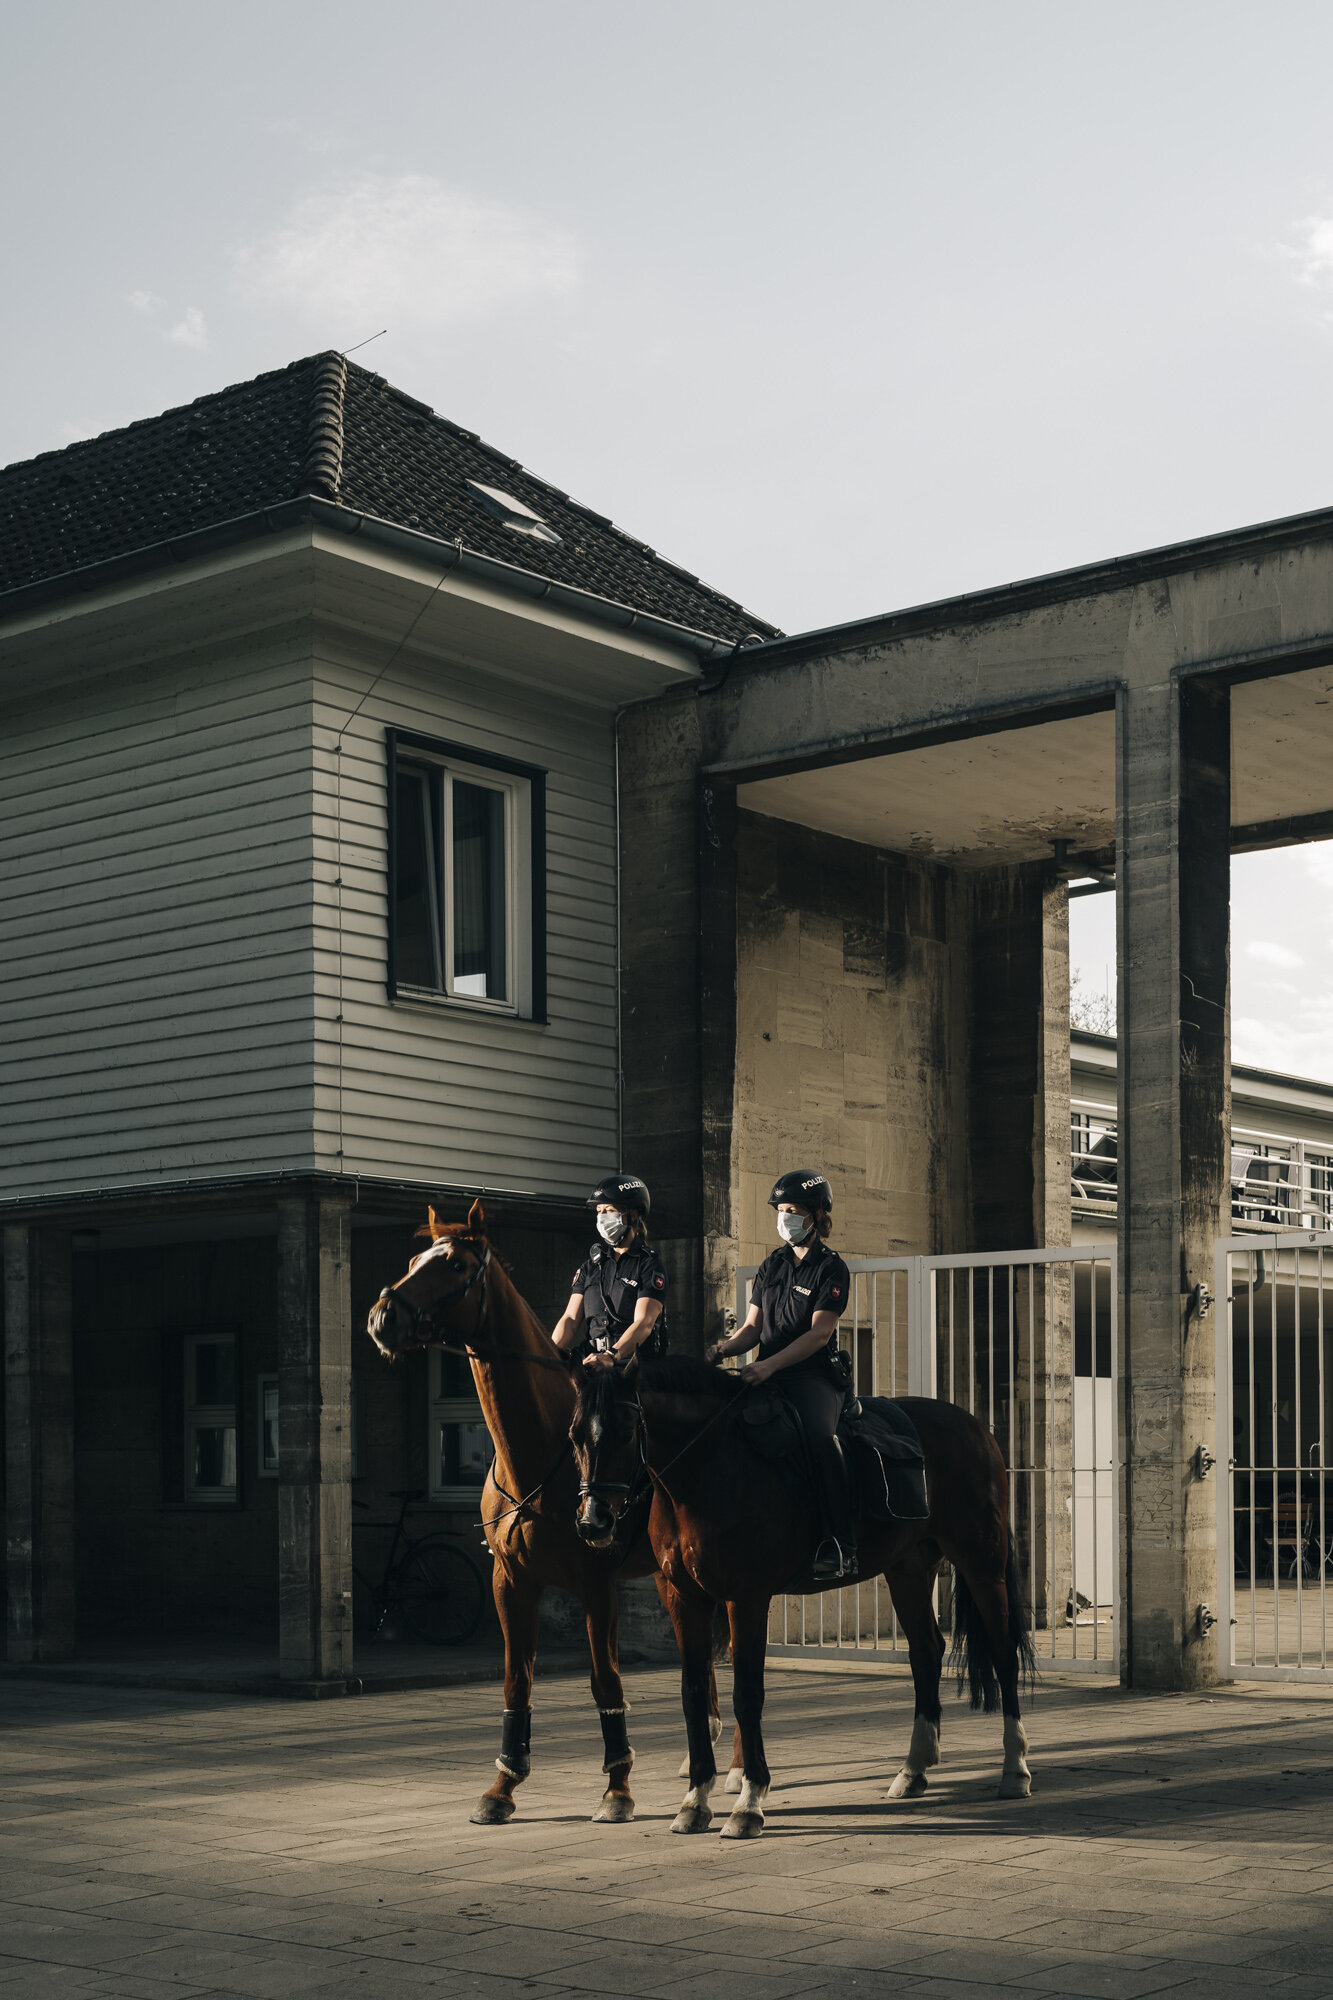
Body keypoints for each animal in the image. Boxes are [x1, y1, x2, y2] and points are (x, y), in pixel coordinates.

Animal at [364, 1200, 720, 1832]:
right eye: (413, 1261)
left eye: (454, 1265)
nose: (383, 1317)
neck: (542, 1453)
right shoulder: (511, 1582)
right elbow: (517, 1682)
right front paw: (502, 1786)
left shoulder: (597, 1586)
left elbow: (606, 1680)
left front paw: (618, 1788)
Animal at [564, 1360, 1032, 1840]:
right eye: (574, 1434)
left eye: (625, 1430)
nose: (593, 1522)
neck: (707, 1468)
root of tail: (975, 1426)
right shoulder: (684, 1598)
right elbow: (693, 1695)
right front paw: (695, 1802)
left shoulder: (746, 1597)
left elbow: (747, 1694)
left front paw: (749, 1803)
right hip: (908, 1570)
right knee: (926, 1652)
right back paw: (913, 1770)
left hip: (981, 1561)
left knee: (1003, 1653)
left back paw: (1014, 1769)